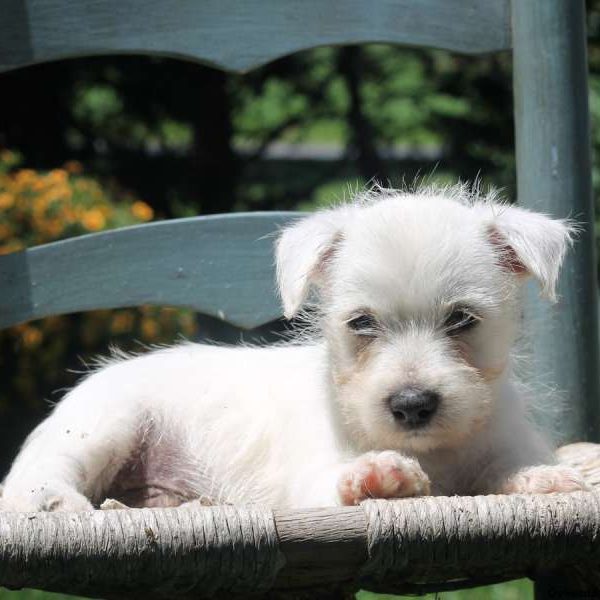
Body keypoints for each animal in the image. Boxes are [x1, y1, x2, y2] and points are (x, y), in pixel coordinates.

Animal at [0, 184, 588, 510]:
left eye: (462, 320)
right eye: (361, 323)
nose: (412, 405)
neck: (435, 454)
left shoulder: (503, 441)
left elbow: (507, 464)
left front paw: (543, 476)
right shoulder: (309, 482)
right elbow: (334, 481)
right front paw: (377, 476)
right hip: (106, 425)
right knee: (32, 478)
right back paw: (57, 503)